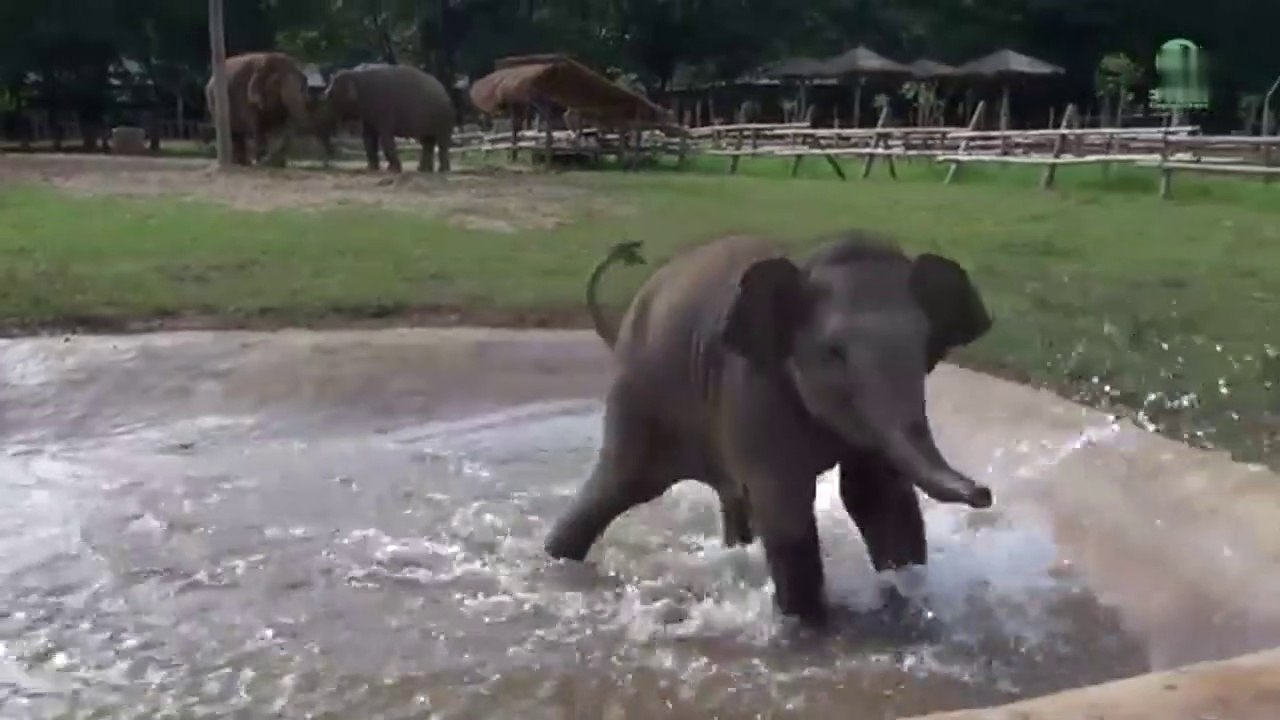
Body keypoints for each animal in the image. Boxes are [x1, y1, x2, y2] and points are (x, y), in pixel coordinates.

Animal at [317, 63, 456, 173]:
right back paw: (423, 170)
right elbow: (368, 137)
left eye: (329, 95)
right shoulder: (369, 111)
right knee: (427, 142)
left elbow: (385, 137)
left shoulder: (383, 107)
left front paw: (394, 169)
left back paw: (443, 170)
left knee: (441, 143)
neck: (356, 74)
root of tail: (446, 93)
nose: (326, 164)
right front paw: (371, 168)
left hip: (443, 120)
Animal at [544, 231, 995, 626]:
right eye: (835, 352)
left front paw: (905, 606)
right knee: (618, 485)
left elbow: (878, 498)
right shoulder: (752, 384)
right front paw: (808, 628)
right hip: (641, 394)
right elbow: (785, 504)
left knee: (729, 496)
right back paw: (555, 565)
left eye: (924, 345)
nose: (985, 493)